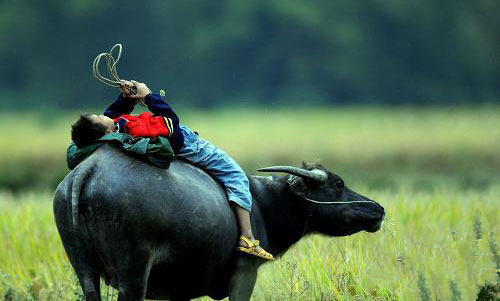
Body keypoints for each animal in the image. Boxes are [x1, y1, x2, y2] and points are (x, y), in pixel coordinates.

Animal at [52, 144, 384, 298]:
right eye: (339, 184)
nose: (378, 209)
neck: (264, 204)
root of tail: (90, 169)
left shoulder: (180, 290)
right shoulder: (245, 274)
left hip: (83, 267)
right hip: (133, 273)